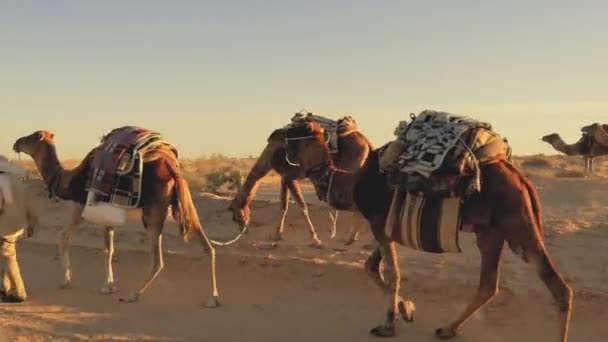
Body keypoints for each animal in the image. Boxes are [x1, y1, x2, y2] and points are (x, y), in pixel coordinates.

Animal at [13, 130, 221, 306]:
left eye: (31, 137)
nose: (16, 143)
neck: (70, 180)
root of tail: (172, 169)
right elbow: (109, 248)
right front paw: (107, 284)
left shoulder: (84, 204)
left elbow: (72, 238)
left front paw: (73, 281)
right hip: (183, 202)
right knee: (207, 246)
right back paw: (213, 298)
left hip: (153, 211)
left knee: (157, 260)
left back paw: (133, 294)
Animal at [228, 117, 370, 246]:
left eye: (236, 217)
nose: (243, 231)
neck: (269, 156)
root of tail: (367, 142)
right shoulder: (284, 176)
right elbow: (284, 206)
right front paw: (277, 235)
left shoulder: (290, 175)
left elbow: (302, 206)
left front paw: (315, 239)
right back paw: (353, 237)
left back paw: (350, 237)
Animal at [282, 123, 572, 342]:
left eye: (297, 130)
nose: (278, 133)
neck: (352, 185)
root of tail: (521, 179)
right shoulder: (385, 226)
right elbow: (371, 267)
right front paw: (406, 310)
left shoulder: (379, 225)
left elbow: (392, 273)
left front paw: (388, 325)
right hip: (491, 232)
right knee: (489, 284)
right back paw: (448, 329)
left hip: (517, 223)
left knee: (559, 288)